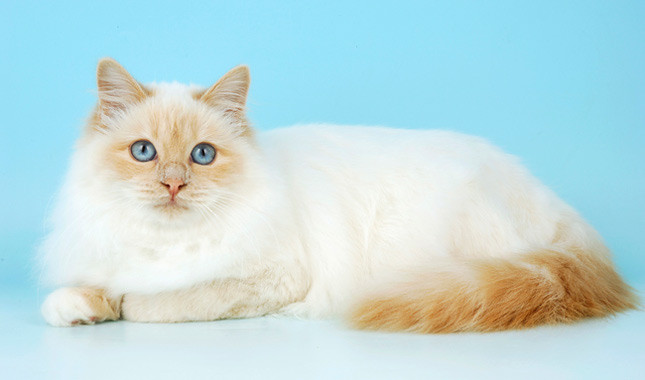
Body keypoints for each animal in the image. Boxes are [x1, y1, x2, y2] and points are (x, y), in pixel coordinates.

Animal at [39, 57, 632, 332]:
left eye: (202, 156)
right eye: (144, 152)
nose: (173, 184)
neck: (163, 243)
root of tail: (552, 201)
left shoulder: (272, 277)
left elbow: (159, 303)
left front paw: (122, 305)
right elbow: (78, 293)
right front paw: (80, 307)